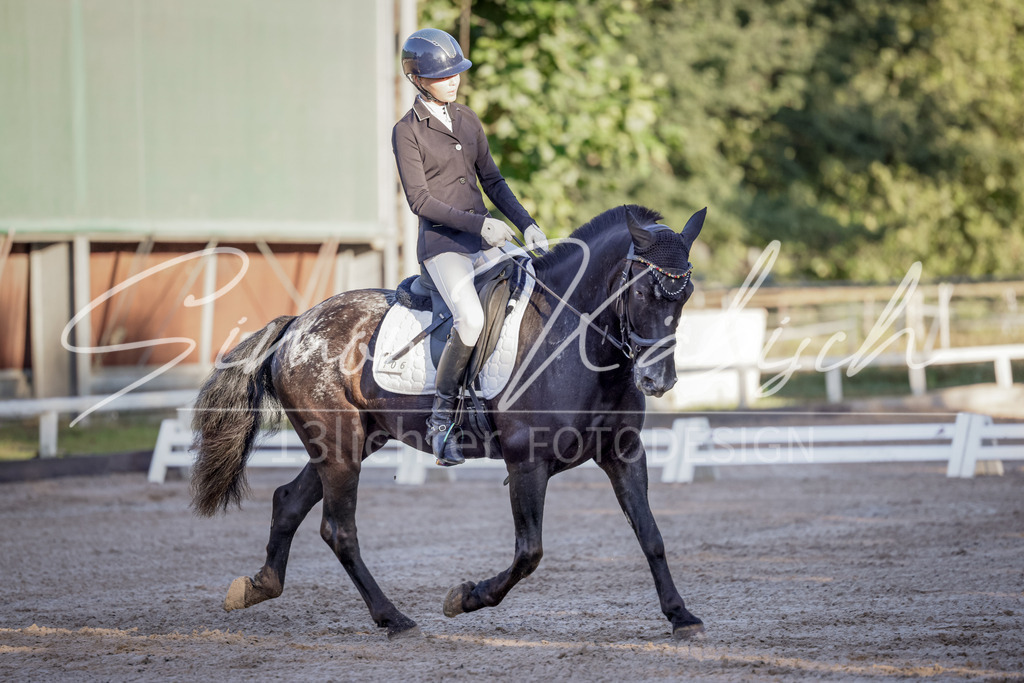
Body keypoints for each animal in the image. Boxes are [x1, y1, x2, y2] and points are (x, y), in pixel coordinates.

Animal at [189, 204, 707, 641]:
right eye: (640, 291)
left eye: (685, 295)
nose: (658, 380)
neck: (576, 340)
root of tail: (297, 325)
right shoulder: (527, 463)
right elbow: (529, 553)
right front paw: (465, 598)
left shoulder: (624, 453)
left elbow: (651, 535)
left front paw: (681, 616)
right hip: (338, 447)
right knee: (339, 530)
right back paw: (392, 618)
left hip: (353, 442)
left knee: (288, 502)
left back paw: (258, 587)